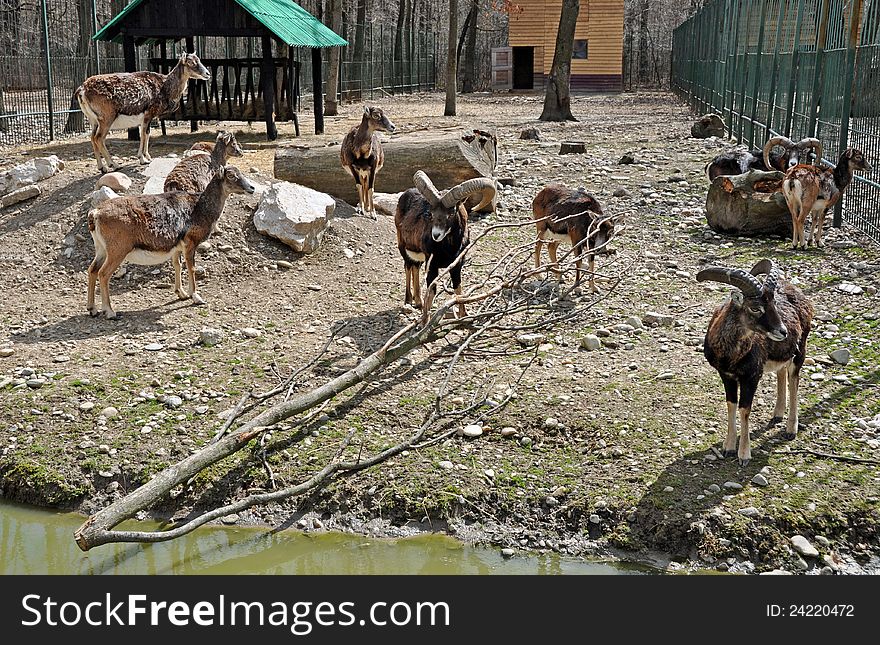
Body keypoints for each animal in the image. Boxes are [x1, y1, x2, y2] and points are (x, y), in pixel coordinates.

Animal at [87, 165, 254, 318]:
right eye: (231, 175)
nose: (251, 188)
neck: (199, 208)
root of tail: (96, 214)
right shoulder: (190, 244)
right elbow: (191, 268)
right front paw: (196, 297)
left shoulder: (177, 248)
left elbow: (177, 265)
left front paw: (182, 294)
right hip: (117, 251)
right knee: (103, 274)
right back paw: (110, 312)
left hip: (101, 249)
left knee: (93, 270)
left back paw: (92, 309)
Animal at [398, 170, 498, 322]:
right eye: (431, 213)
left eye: (451, 213)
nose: (436, 235)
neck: (448, 249)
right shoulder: (432, 265)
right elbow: (431, 291)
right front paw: (425, 322)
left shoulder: (457, 265)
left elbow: (458, 289)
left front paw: (463, 316)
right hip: (404, 248)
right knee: (408, 266)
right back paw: (409, 301)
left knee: (415, 267)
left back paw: (418, 302)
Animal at [696, 260, 816, 466]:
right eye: (755, 308)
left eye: (774, 303)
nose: (782, 331)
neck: (731, 355)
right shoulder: (726, 376)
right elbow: (731, 404)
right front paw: (728, 448)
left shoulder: (751, 377)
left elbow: (745, 409)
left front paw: (744, 455)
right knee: (781, 372)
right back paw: (777, 415)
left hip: (800, 350)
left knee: (794, 380)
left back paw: (790, 429)